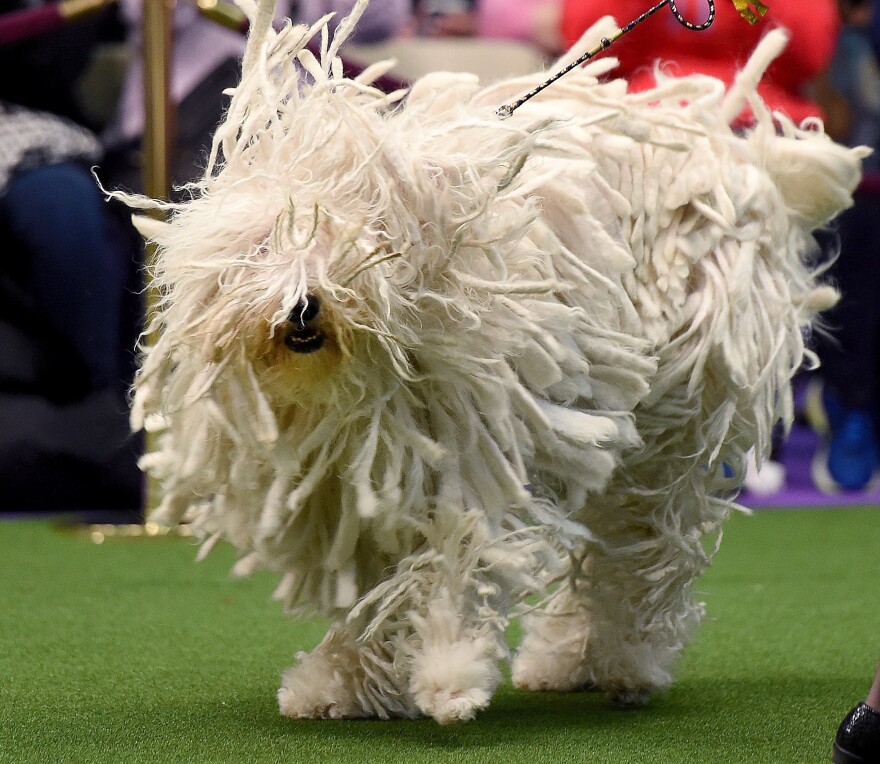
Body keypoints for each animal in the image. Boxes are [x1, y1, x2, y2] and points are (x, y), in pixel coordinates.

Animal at [120, 0, 868, 724]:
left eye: (358, 238)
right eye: (266, 243)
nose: (304, 307)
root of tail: (744, 166)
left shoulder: (472, 449)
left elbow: (460, 557)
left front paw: (449, 673)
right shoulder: (354, 487)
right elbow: (369, 589)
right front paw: (342, 681)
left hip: (681, 409)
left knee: (641, 546)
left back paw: (625, 661)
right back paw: (565, 659)